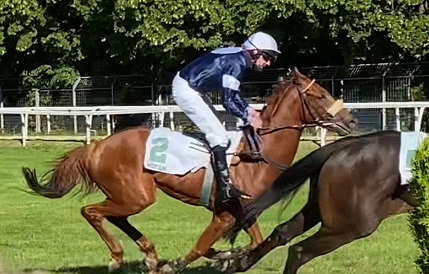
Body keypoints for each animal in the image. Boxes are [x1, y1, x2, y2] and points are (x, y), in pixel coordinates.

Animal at [20, 68, 354, 272]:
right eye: (319, 95)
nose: (350, 121)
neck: (257, 155)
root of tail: (97, 147)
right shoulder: (223, 214)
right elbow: (200, 247)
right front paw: (187, 262)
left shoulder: (241, 212)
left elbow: (253, 241)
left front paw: (226, 257)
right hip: (136, 196)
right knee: (91, 211)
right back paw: (118, 257)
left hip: (130, 195)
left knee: (113, 216)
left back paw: (149, 253)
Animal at [212, 130, 416, 272]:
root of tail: (344, 146)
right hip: (350, 225)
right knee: (299, 251)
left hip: (318, 209)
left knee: (283, 232)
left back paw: (239, 262)